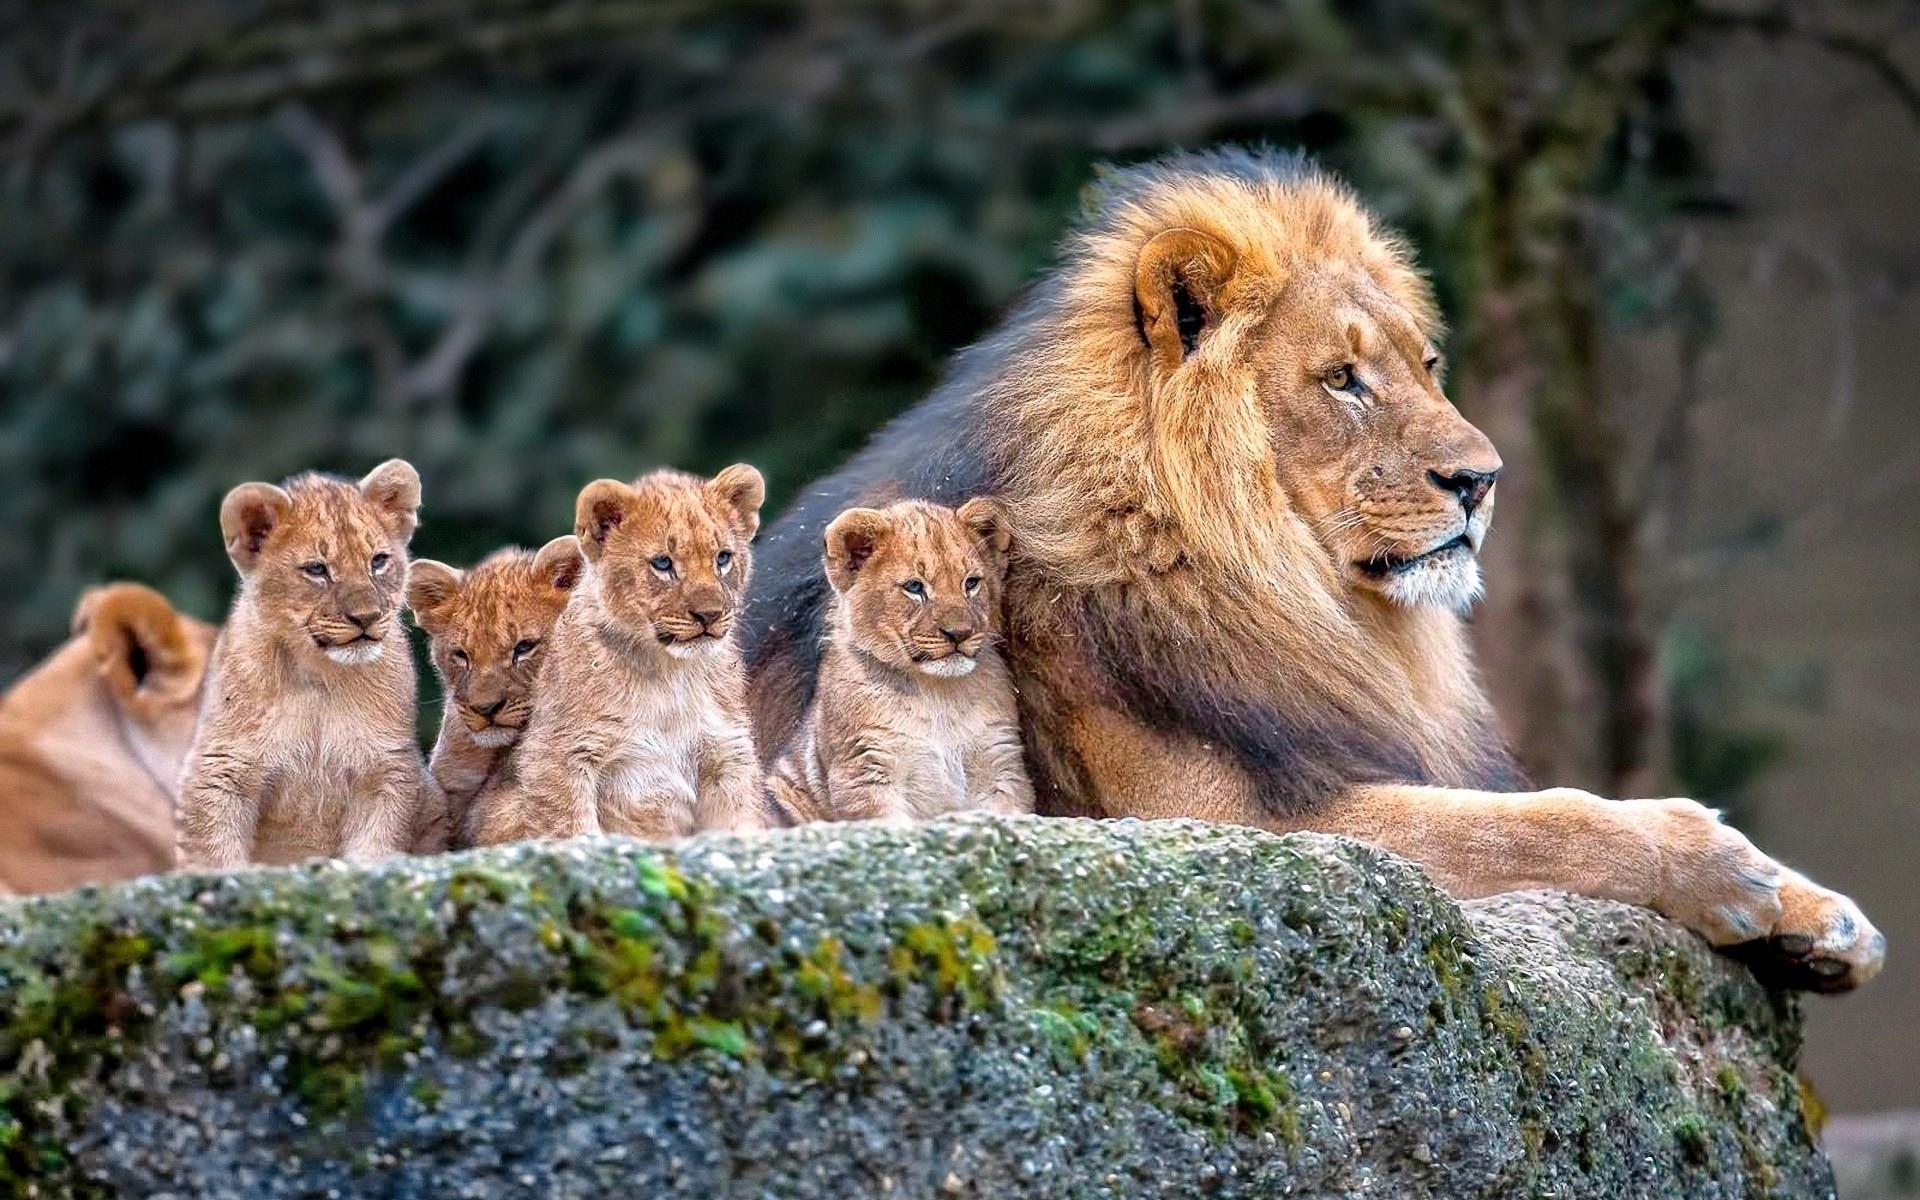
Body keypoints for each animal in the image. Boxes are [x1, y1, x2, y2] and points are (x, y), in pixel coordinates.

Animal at [741, 147, 1881, 990]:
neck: (1288, 590)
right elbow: (1530, 823)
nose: (1484, 480)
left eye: (1427, 366)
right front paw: (1717, 861)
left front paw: (1820, 915)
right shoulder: (1227, 825)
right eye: (1342, 380)